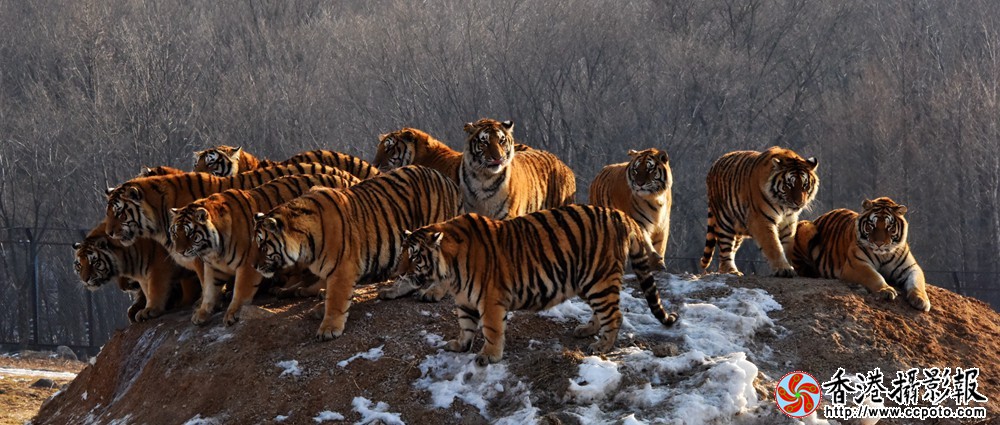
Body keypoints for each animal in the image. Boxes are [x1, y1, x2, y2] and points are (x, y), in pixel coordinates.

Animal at [169, 172, 359, 326]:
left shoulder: (247, 265)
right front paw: (201, 313)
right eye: (175, 233)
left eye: (190, 234)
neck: (214, 251)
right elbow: (209, 290)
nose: (179, 252)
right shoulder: (213, 267)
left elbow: (240, 290)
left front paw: (232, 313)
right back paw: (286, 291)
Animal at [252, 165, 461, 340]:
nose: (254, 265)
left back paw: (433, 292)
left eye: (262, 244)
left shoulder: (342, 269)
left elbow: (336, 299)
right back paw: (391, 292)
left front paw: (328, 328)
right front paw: (321, 308)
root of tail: (448, 180)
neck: (305, 243)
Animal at [394, 205, 680, 366]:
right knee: (602, 312)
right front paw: (459, 345)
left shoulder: (490, 299)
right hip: (588, 281)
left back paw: (602, 345)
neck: (451, 271)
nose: (399, 273)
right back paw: (587, 330)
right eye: (402, 253)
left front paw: (489, 356)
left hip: (598, 278)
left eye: (415, 257)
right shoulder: (465, 300)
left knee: (615, 315)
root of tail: (620, 214)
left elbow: (491, 330)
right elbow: (465, 326)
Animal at [699, 146, 819, 277]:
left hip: (738, 228)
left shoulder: (789, 222)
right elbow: (773, 245)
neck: (784, 206)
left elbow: (788, 244)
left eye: (805, 184)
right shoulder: (761, 220)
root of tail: (714, 165)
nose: (799, 202)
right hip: (724, 220)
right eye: (789, 184)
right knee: (726, 249)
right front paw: (783, 268)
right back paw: (731, 270)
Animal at [789, 197, 931, 311]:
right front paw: (886, 290)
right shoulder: (856, 264)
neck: (883, 254)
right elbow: (874, 276)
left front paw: (921, 300)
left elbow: (917, 283)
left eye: (889, 226)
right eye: (872, 225)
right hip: (806, 226)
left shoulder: (911, 267)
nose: (879, 244)